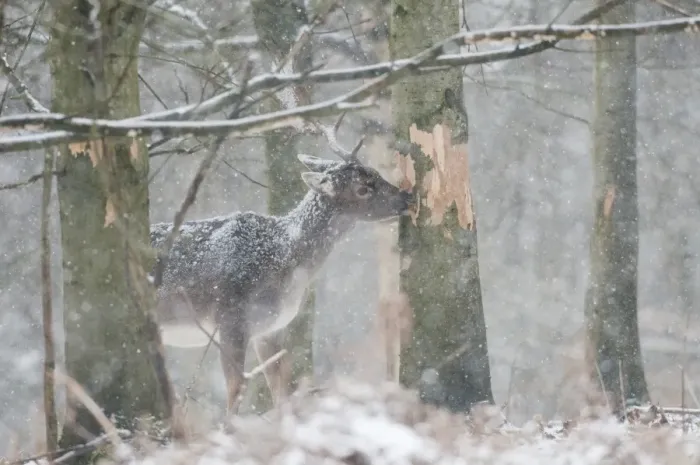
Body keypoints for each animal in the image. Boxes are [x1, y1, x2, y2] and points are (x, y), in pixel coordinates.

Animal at [149, 118, 415, 414]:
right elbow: (236, 390)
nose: (407, 197)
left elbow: (280, 390)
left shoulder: (271, 328)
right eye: (362, 188)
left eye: (376, 173)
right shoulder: (231, 317)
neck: (284, 257)